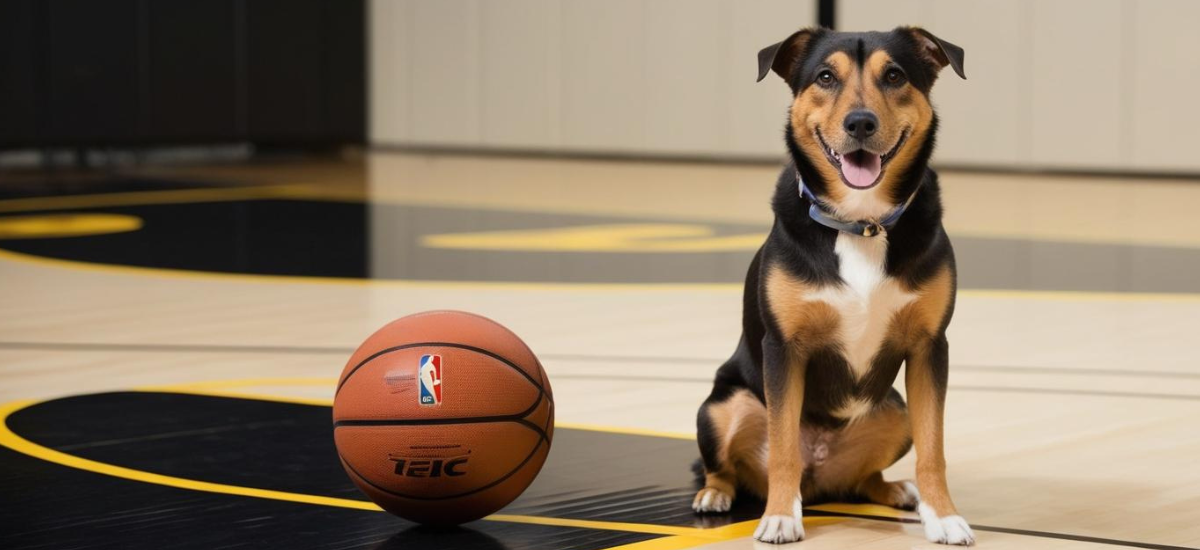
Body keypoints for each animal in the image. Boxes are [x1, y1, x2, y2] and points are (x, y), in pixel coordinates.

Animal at [696, 26, 974, 545]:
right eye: (825, 77)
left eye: (895, 75)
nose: (860, 123)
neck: (861, 223)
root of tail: (819, 478)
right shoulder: (784, 349)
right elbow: (784, 445)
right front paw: (780, 517)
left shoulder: (930, 348)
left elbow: (934, 448)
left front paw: (943, 516)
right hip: (722, 406)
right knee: (725, 466)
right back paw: (714, 494)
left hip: (895, 409)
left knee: (864, 479)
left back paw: (895, 490)